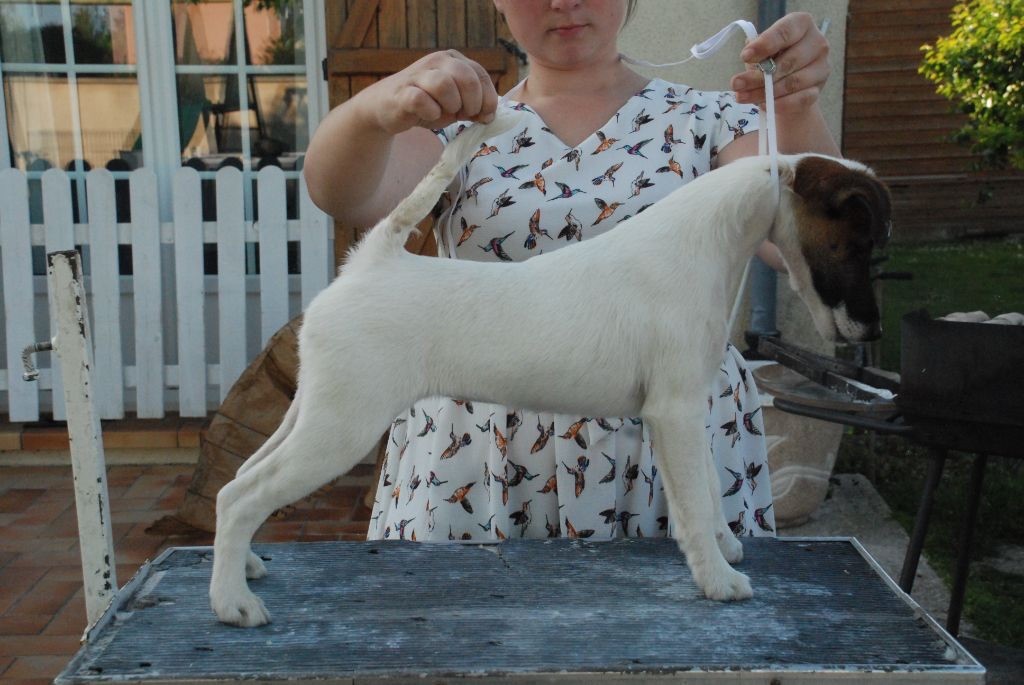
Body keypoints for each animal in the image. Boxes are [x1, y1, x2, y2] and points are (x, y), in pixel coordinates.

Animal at [209, 110, 892, 627]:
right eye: (859, 245)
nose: (872, 331)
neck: (705, 241)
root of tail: (369, 264)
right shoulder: (672, 412)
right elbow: (696, 505)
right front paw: (717, 579)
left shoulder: (687, 410)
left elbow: (701, 492)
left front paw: (725, 549)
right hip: (340, 429)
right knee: (243, 497)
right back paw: (232, 604)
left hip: (314, 416)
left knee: (236, 484)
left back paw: (243, 570)